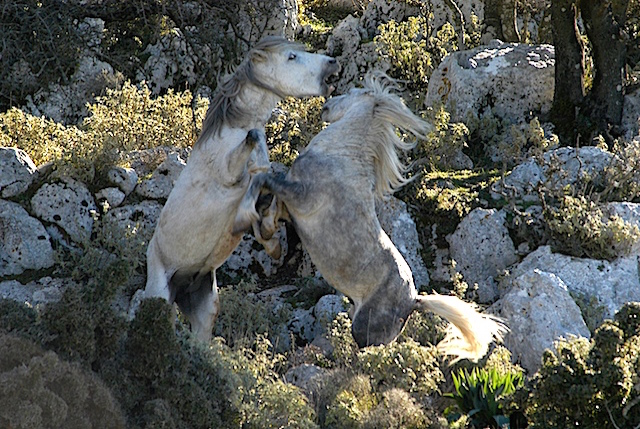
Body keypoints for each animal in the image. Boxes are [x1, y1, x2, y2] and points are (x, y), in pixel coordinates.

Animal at [145, 36, 340, 342]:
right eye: (292, 56)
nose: (332, 63)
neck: (231, 129)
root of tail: (181, 286)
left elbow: (269, 184)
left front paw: (270, 239)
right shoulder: (230, 174)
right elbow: (255, 145)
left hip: (205, 305)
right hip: (158, 292)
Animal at [235, 74, 510, 362]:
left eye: (351, 92)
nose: (326, 105)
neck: (341, 156)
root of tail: (413, 301)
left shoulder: (300, 195)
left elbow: (265, 180)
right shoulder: (292, 204)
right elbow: (273, 206)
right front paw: (271, 242)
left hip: (364, 328)